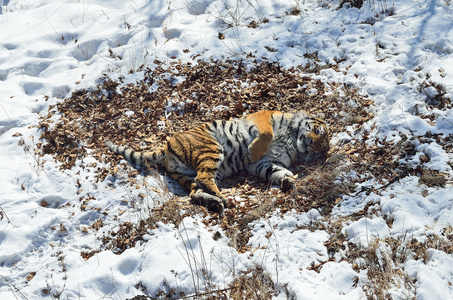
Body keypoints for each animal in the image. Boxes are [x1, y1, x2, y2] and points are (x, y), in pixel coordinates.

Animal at [105, 110, 328, 213]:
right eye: (317, 132)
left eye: (320, 148)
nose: (311, 144)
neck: (293, 138)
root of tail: (165, 148)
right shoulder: (262, 118)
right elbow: (266, 135)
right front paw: (251, 151)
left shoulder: (264, 163)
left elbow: (273, 170)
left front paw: (287, 180)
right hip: (211, 147)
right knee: (202, 178)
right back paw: (221, 198)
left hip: (205, 168)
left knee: (195, 190)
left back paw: (214, 201)